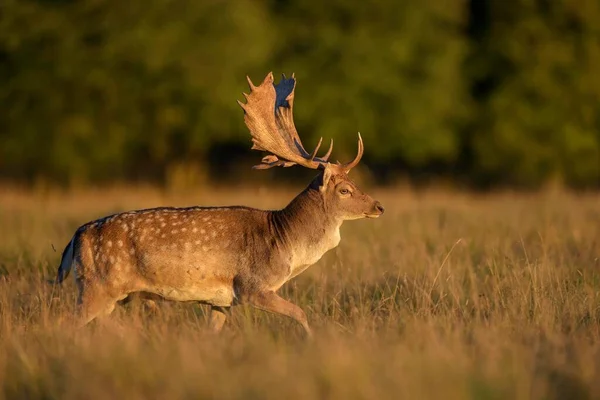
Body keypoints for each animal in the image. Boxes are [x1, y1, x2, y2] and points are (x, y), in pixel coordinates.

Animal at [55, 72, 384, 338]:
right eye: (345, 189)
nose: (379, 207)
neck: (284, 242)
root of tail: (77, 236)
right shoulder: (252, 287)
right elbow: (301, 314)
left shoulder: (222, 302)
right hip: (97, 287)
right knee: (64, 324)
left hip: (109, 295)